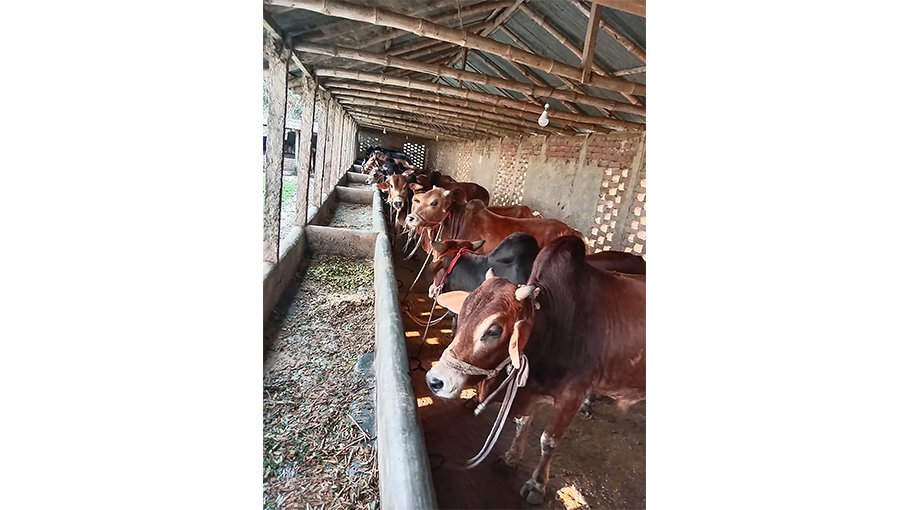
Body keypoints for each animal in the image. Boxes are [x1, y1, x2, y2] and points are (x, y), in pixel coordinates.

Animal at [426, 235, 645, 504]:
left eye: (494, 330)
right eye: (464, 313)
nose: (436, 381)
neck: (554, 327)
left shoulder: (570, 397)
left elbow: (548, 441)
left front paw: (537, 484)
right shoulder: (528, 386)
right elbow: (523, 422)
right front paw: (511, 457)